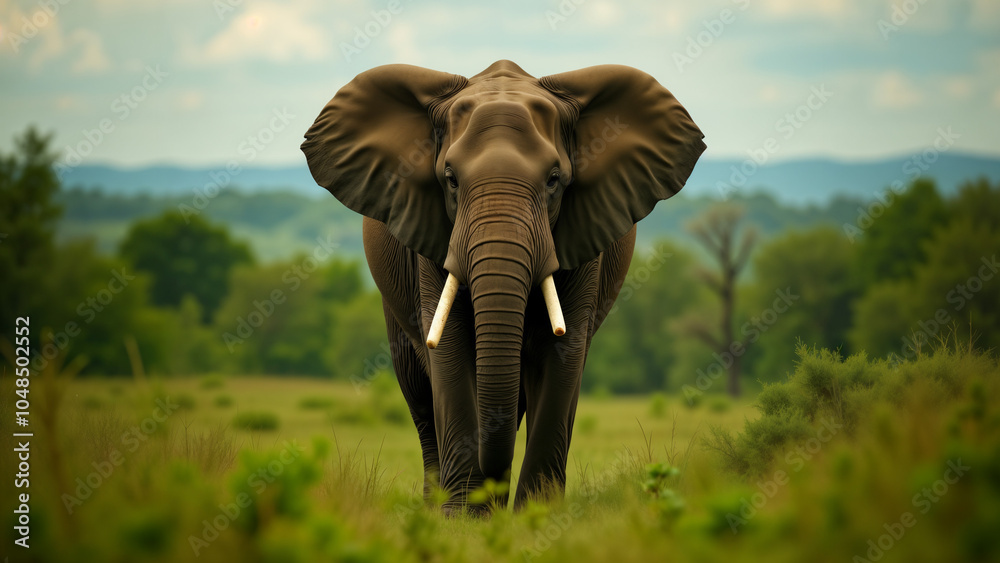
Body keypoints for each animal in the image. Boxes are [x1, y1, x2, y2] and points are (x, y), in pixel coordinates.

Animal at [301, 60, 705, 513]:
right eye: (450, 179)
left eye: (553, 180)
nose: (492, 492)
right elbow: (451, 351)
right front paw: (465, 520)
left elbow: (560, 355)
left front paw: (537, 518)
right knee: (420, 398)